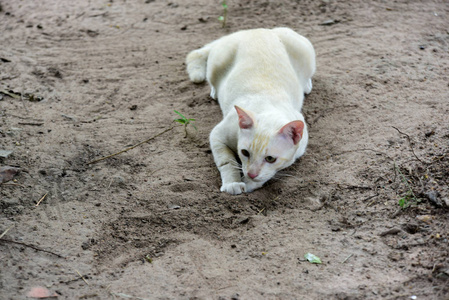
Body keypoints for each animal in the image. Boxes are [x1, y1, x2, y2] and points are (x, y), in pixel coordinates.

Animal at [186, 28, 316, 195]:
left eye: (270, 159)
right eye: (245, 153)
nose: (251, 173)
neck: (267, 105)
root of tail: (257, 29)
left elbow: (267, 175)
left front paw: (249, 184)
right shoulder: (217, 135)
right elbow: (227, 162)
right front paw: (233, 183)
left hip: (308, 54)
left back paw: (306, 85)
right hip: (215, 64)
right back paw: (214, 92)